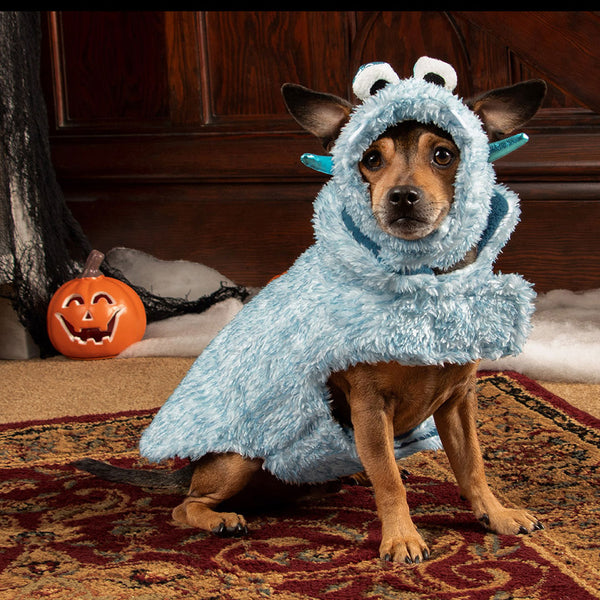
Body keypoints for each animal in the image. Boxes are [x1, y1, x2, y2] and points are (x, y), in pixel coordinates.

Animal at [74, 71, 544, 564]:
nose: (402, 196)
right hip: (241, 455)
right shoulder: (370, 406)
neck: (420, 287)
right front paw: (401, 536)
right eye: (370, 159)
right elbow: (391, 482)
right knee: (185, 506)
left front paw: (496, 514)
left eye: (444, 155)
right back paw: (221, 518)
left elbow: (472, 466)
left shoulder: (458, 402)